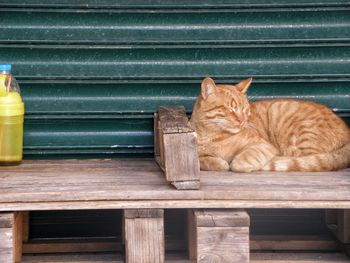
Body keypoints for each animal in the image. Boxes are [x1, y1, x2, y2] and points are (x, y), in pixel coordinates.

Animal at [189, 77, 350, 172]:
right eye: (230, 109)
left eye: (245, 109)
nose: (242, 120)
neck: (211, 135)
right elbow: (199, 160)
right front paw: (217, 162)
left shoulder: (263, 145)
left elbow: (241, 160)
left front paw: (235, 162)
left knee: (305, 159)